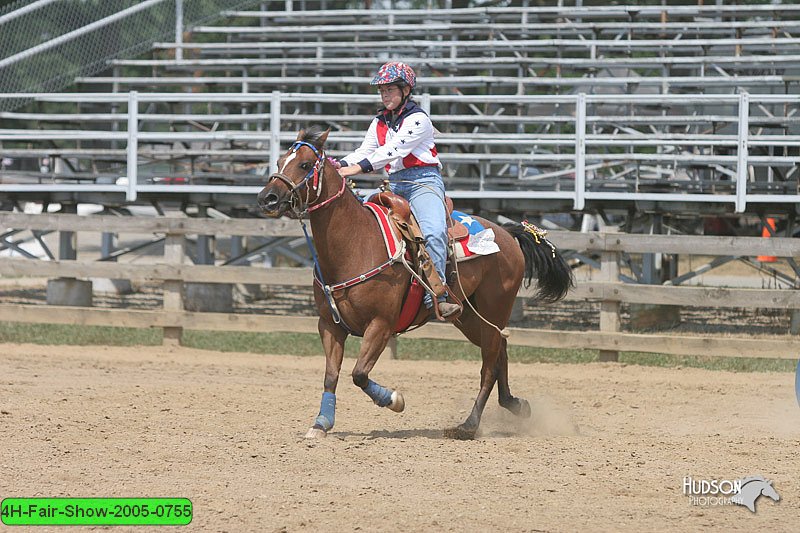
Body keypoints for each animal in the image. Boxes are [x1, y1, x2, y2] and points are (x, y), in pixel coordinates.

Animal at [260, 127, 572, 438]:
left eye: (304, 164)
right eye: (279, 162)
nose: (268, 198)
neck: (355, 243)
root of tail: (507, 234)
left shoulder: (381, 325)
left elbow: (359, 374)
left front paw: (393, 400)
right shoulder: (329, 325)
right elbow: (331, 375)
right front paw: (321, 423)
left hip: (494, 309)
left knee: (489, 367)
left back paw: (468, 425)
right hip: (470, 317)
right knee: (500, 354)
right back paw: (515, 404)